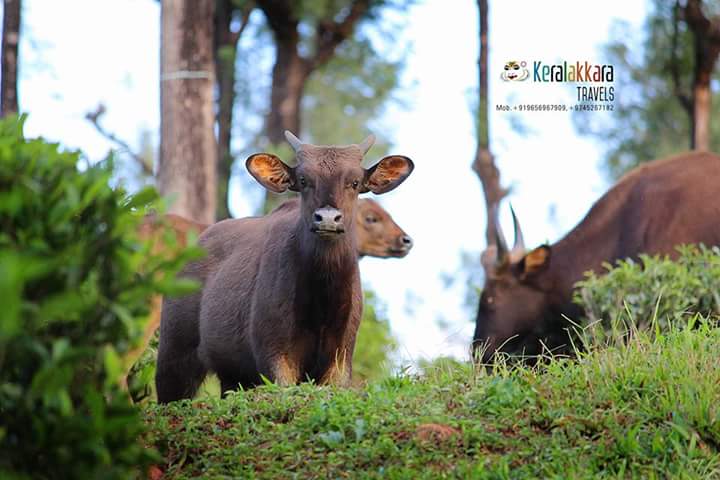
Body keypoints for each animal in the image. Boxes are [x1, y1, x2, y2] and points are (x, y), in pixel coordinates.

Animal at [155, 132, 414, 403]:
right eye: (303, 180)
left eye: (354, 182)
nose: (328, 219)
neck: (321, 301)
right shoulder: (275, 356)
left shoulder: (340, 359)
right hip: (174, 355)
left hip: (232, 375)